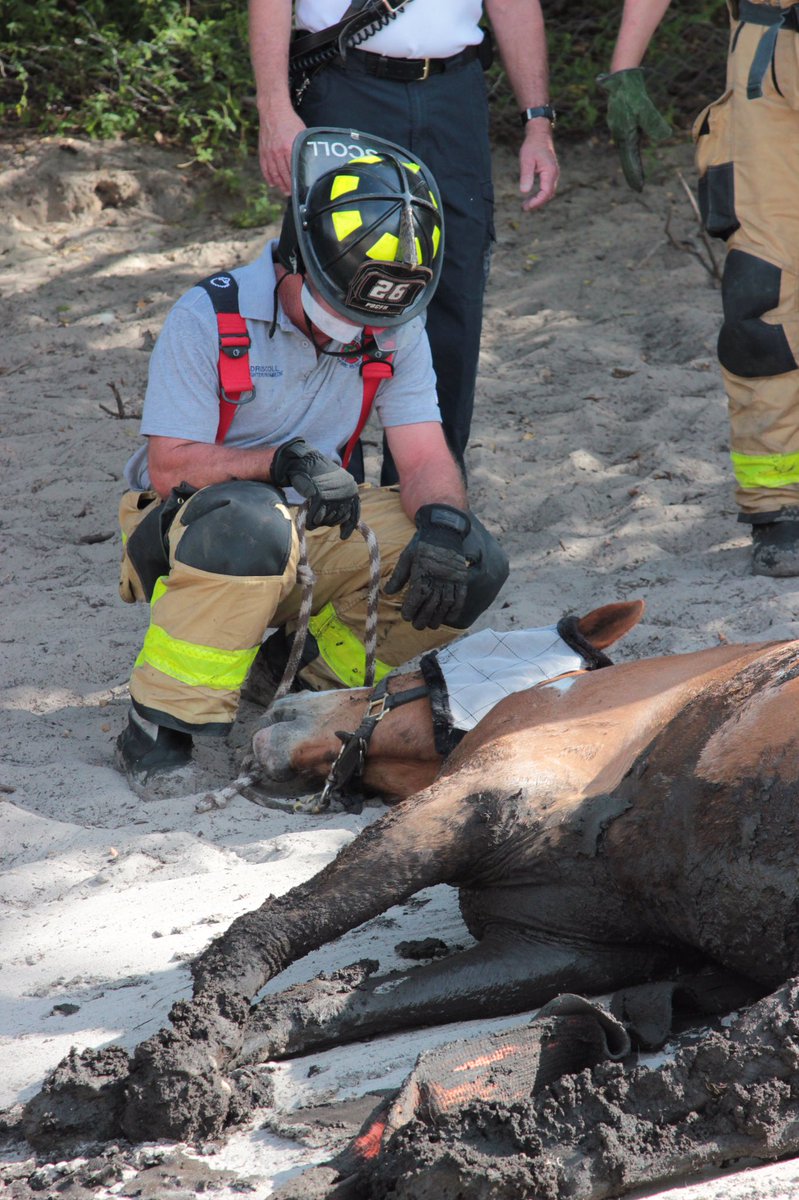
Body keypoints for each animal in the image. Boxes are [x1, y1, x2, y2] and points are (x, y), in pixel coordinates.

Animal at [18, 600, 799, 1200]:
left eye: (406, 670)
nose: (283, 705)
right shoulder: (558, 946)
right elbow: (335, 1005)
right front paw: (221, 1049)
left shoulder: (469, 802)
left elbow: (276, 926)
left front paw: (186, 1055)